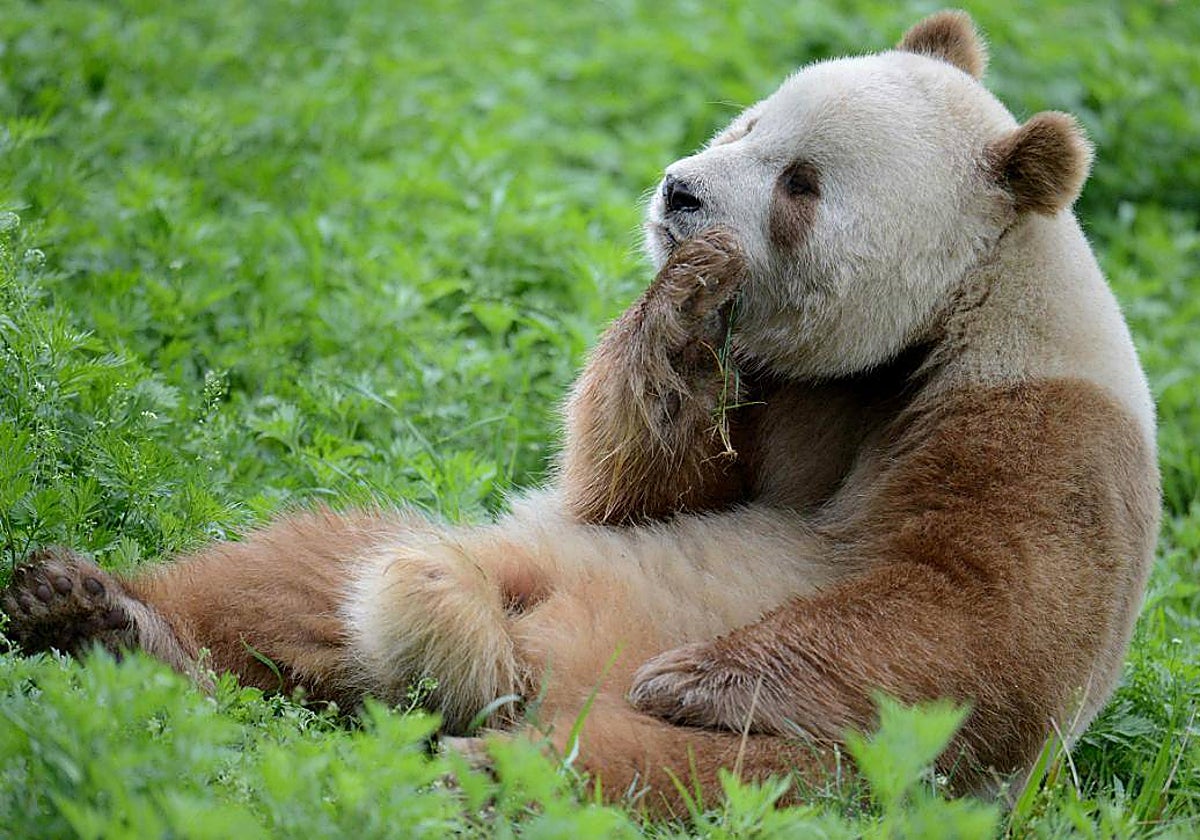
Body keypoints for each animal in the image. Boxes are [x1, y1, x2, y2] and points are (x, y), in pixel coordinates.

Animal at [1, 11, 1159, 813]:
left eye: (801, 182)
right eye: (748, 120)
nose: (681, 193)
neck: (931, 325)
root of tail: (512, 676)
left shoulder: (1039, 427)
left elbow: (974, 616)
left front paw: (699, 674)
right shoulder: (780, 390)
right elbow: (634, 490)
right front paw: (680, 301)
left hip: (836, 763)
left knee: (684, 775)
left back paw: (479, 772)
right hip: (511, 555)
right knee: (301, 572)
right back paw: (98, 616)